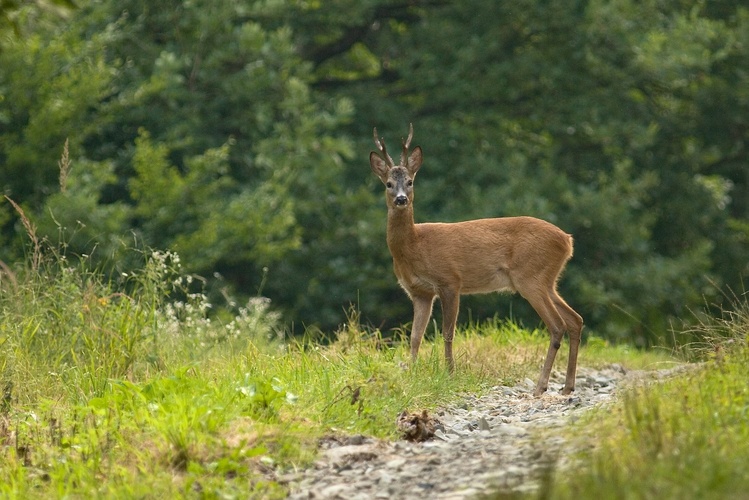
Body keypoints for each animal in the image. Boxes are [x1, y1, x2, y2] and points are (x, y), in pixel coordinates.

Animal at [372, 123, 580, 396]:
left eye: (410, 182)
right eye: (388, 184)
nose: (401, 199)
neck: (415, 245)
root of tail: (567, 240)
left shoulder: (450, 280)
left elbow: (448, 333)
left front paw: (450, 374)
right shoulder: (420, 292)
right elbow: (415, 336)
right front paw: (412, 373)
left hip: (530, 277)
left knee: (557, 325)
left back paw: (541, 386)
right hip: (547, 280)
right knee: (575, 320)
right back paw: (567, 387)